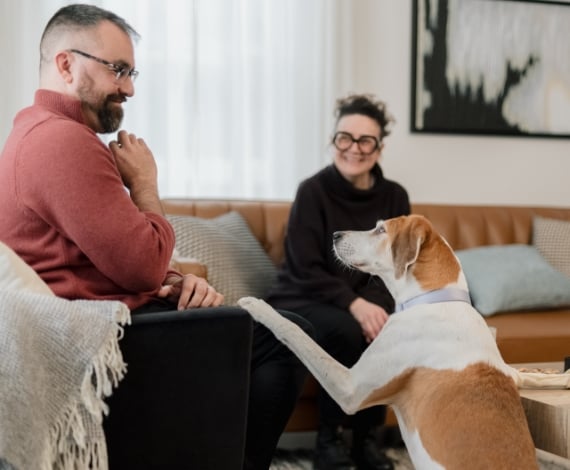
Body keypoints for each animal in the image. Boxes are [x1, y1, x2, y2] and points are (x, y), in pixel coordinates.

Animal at [237, 215, 564, 468]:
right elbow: (529, 375)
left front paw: (257, 306)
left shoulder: (350, 388)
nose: (335, 234)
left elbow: (297, 332)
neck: (434, 300)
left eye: (381, 230)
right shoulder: (512, 371)